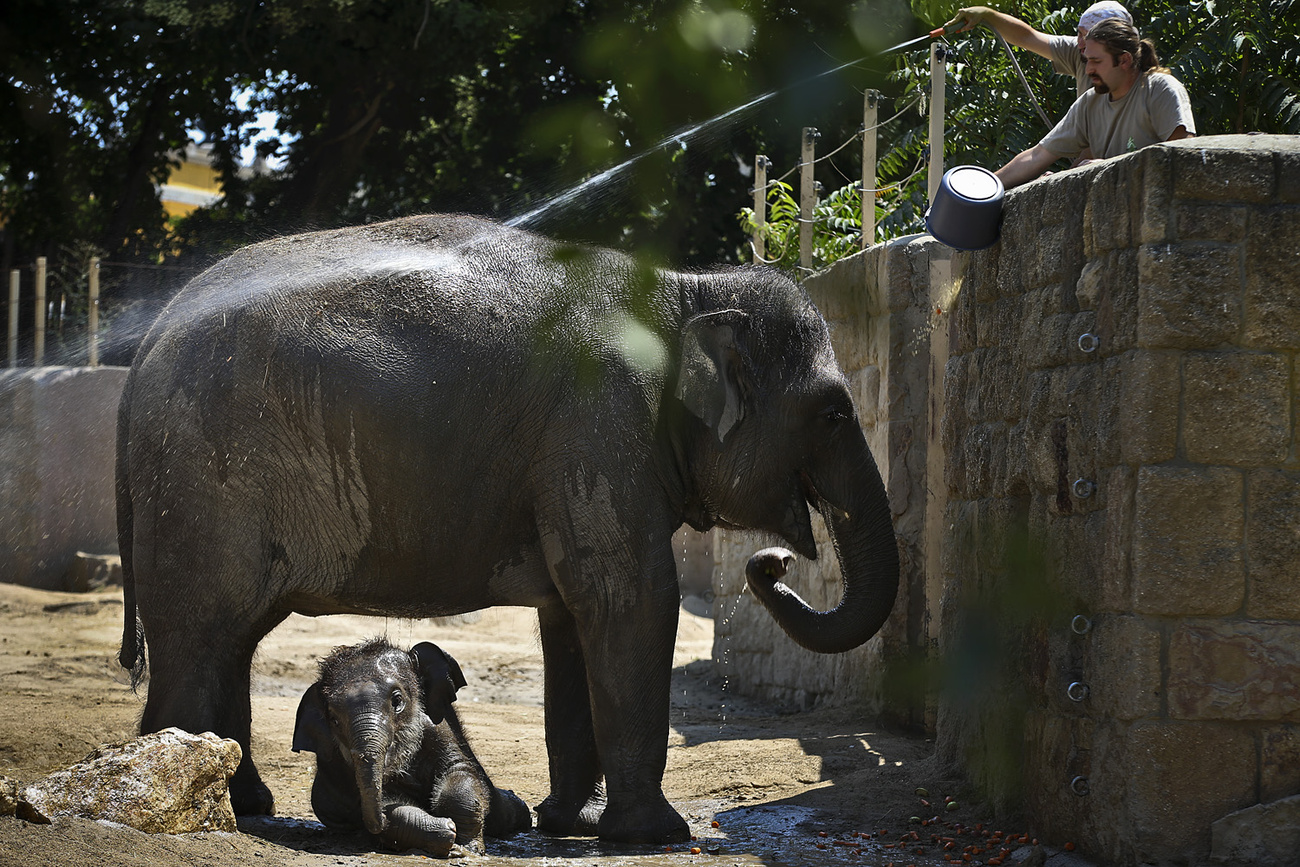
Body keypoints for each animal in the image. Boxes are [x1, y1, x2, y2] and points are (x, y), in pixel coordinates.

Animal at [295, 636, 533, 852]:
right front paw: (448, 834)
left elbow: (459, 773)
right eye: (334, 719)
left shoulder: (439, 728)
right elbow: (390, 805)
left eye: (397, 701)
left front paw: (468, 848)